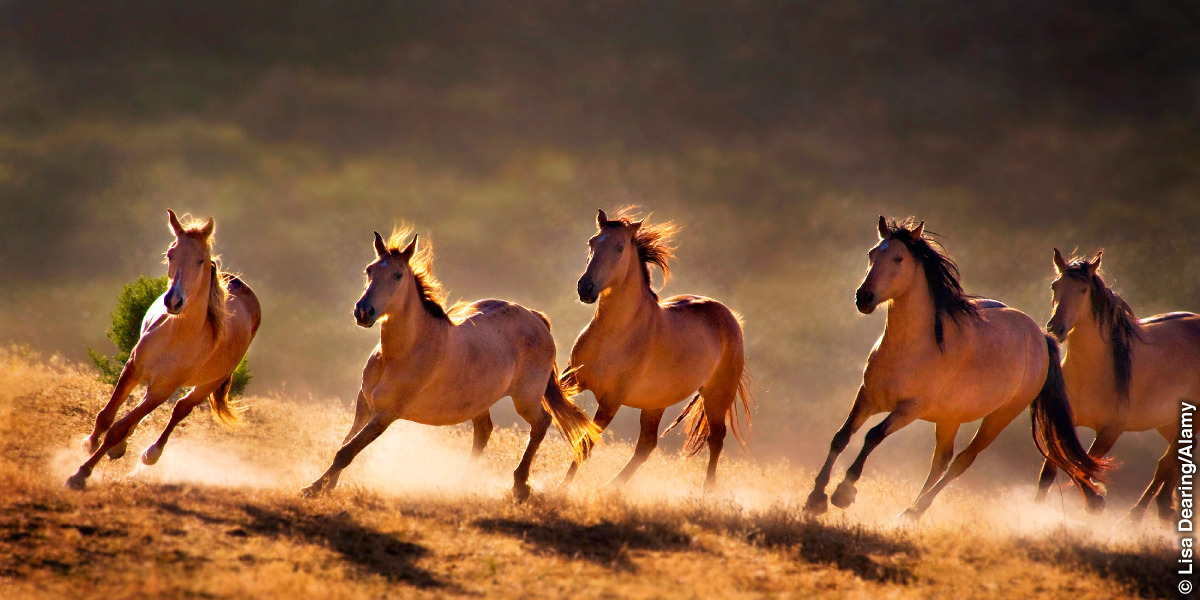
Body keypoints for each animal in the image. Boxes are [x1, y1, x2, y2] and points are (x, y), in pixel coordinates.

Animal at [68, 208, 260, 489]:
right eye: (171, 254)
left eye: (201, 260)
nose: (174, 301)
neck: (176, 335)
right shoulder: (133, 368)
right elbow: (106, 416)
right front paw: (89, 444)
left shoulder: (163, 388)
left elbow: (118, 429)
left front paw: (80, 474)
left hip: (208, 384)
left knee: (181, 409)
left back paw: (150, 454)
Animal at [300, 226, 600, 499]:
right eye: (369, 270)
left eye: (397, 275)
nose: (363, 312)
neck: (399, 354)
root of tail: (536, 318)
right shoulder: (364, 404)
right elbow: (345, 443)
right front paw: (326, 486)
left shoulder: (386, 413)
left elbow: (347, 451)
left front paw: (313, 488)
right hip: (480, 400)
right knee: (484, 431)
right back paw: (459, 483)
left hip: (525, 398)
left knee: (541, 423)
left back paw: (519, 486)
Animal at [554, 207, 744, 492]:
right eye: (592, 242)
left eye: (619, 247)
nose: (585, 288)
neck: (615, 332)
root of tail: (730, 316)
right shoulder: (574, 377)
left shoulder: (612, 399)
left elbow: (586, 442)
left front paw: (558, 488)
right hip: (657, 402)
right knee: (647, 445)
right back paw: (609, 487)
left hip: (718, 393)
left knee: (716, 437)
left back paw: (707, 491)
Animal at [801, 217, 1108, 520]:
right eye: (872, 253)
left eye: (899, 258)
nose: (863, 298)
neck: (911, 348)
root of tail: (1040, 337)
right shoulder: (867, 396)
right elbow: (841, 437)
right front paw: (815, 498)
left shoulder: (909, 409)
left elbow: (872, 436)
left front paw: (844, 493)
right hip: (950, 416)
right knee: (940, 460)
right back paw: (909, 512)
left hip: (999, 417)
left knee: (962, 461)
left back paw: (916, 510)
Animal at [1036, 248, 1195, 520]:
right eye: (1055, 286)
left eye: (1083, 290)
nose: (1055, 328)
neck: (1097, 370)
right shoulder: (1065, 421)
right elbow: (1050, 472)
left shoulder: (1111, 431)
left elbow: (1083, 466)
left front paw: (1096, 502)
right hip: (1170, 423)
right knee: (1176, 463)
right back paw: (1166, 509)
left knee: (1165, 465)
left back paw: (1134, 518)